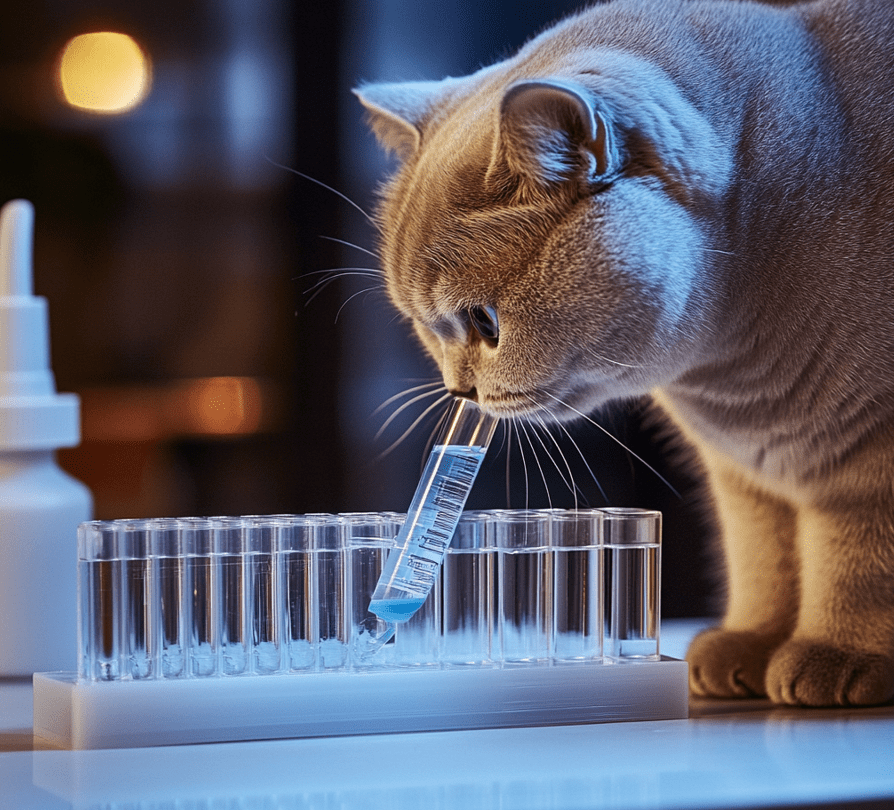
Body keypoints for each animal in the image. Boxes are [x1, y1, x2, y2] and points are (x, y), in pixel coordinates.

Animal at [356, 0, 894, 708]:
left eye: (484, 321)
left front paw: (837, 657)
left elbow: (857, 562)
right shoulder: (745, 479)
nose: (459, 391)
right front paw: (746, 646)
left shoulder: (869, 463)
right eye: (426, 326)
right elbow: (765, 561)